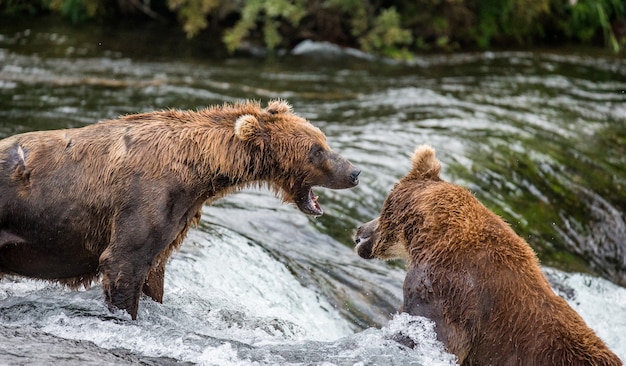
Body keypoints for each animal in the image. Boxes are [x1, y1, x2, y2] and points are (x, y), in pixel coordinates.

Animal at [0, 100, 358, 320]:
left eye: (324, 140)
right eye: (316, 150)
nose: (354, 172)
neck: (198, 170)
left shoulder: (176, 214)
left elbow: (154, 268)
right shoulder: (143, 199)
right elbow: (123, 262)